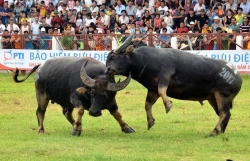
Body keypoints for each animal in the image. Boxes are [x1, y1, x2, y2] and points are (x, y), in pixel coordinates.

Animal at [104, 31, 242, 136]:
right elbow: (147, 104)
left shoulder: (165, 75)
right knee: (224, 114)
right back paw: (220, 131)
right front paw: (150, 121)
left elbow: (162, 90)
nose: (107, 70)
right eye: (107, 59)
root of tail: (236, 74)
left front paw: (168, 105)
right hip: (213, 98)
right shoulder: (152, 89)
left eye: (113, 57)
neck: (145, 61)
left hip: (223, 95)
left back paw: (214, 132)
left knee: (224, 113)